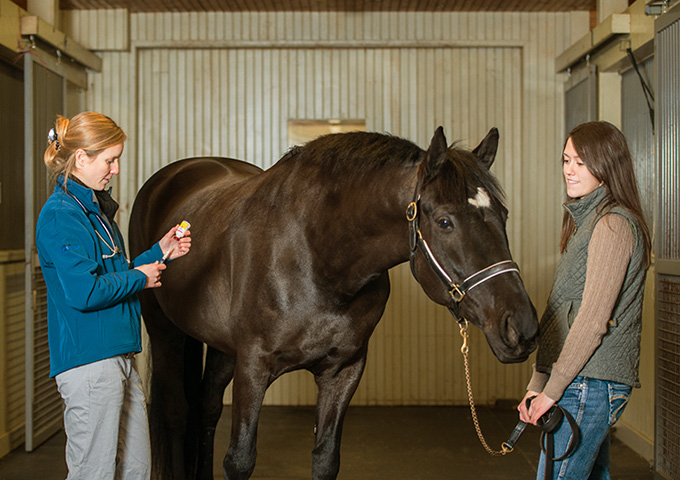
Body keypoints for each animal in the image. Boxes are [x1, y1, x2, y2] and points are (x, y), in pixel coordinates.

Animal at [128, 126, 538, 480]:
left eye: (503, 215)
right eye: (445, 221)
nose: (522, 328)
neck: (317, 252)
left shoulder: (343, 370)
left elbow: (326, 460)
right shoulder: (253, 366)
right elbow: (240, 460)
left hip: (221, 348)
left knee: (207, 409)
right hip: (164, 330)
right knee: (177, 412)